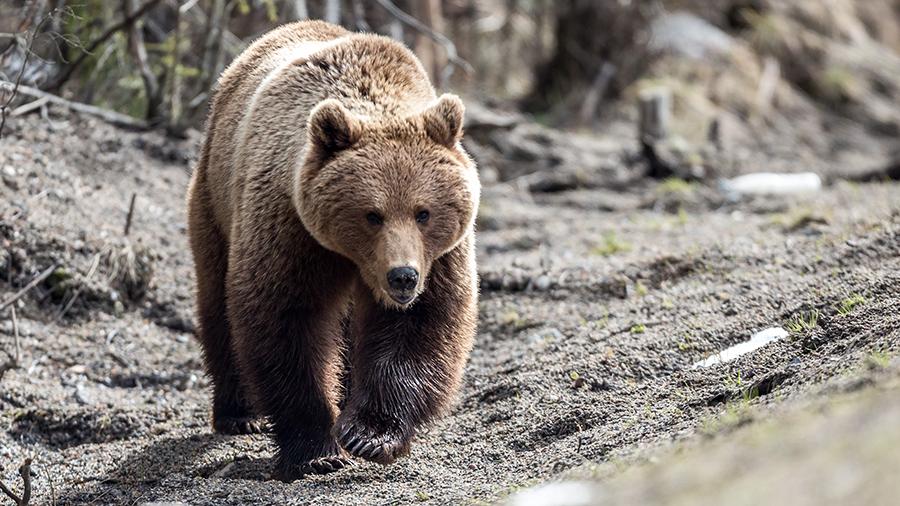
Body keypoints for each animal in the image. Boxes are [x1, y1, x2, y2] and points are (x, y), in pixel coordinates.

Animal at [184, 18, 478, 478]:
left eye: (423, 212)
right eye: (372, 214)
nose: (403, 277)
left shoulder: (441, 257)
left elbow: (422, 324)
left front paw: (368, 433)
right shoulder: (290, 227)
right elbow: (286, 319)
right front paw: (316, 449)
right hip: (215, 201)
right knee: (217, 301)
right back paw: (239, 413)